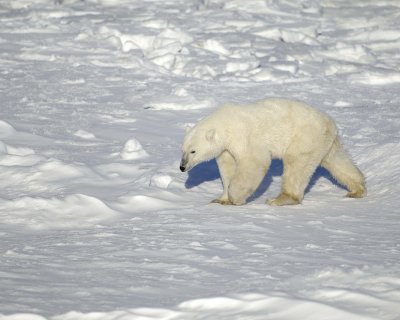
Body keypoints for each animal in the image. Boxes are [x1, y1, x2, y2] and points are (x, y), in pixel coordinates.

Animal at [180, 99, 366, 206]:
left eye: (193, 151)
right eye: (182, 150)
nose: (182, 167)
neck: (224, 123)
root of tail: (330, 122)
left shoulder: (244, 135)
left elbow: (255, 162)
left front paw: (236, 198)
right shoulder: (226, 148)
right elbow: (227, 168)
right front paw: (221, 199)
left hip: (304, 137)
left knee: (296, 164)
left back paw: (279, 199)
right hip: (325, 141)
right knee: (337, 161)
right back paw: (357, 189)